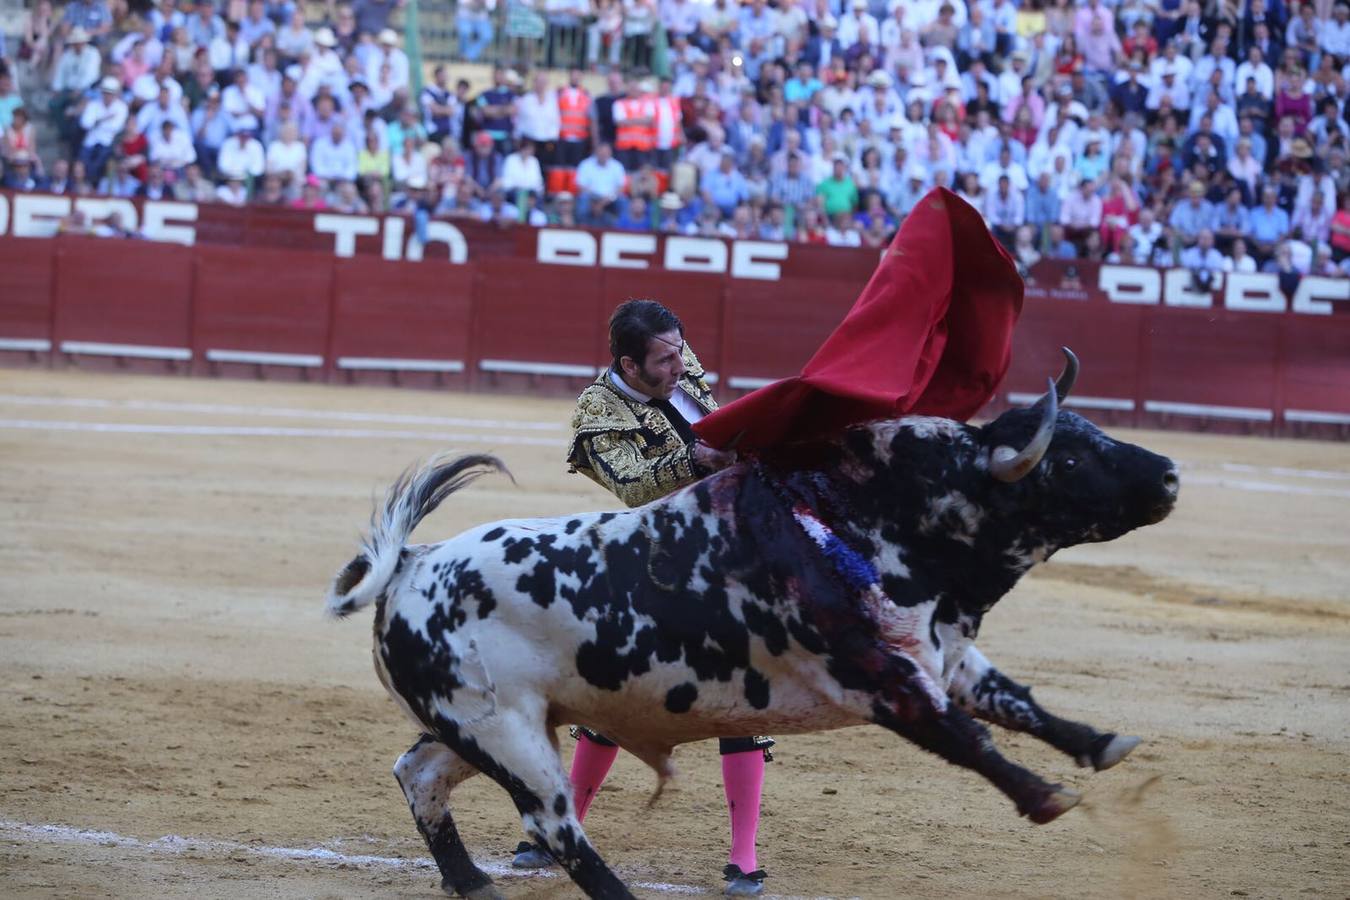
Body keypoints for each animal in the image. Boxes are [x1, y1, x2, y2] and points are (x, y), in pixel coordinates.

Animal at [329, 353, 1182, 900]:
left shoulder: (941, 650)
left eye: (1096, 433)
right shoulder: (879, 677)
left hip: (480, 725)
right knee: (556, 823)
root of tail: (410, 567)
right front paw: (1047, 797)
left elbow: (1016, 702)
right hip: (506, 733)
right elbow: (966, 737)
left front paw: (1103, 744)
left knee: (420, 774)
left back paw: (473, 883)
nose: (1170, 473)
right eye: (1065, 460)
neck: (866, 514)